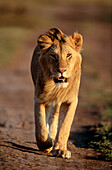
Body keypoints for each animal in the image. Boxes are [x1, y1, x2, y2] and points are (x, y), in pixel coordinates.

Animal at [30, 27, 83, 158]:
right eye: (53, 56)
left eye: (68, 55)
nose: (62, 70)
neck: (57, 88)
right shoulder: (40, 98)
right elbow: (41, 127)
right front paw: (46, 145)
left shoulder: (71, 100)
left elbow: (64, 126)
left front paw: (60, 149)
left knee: (54, 116)